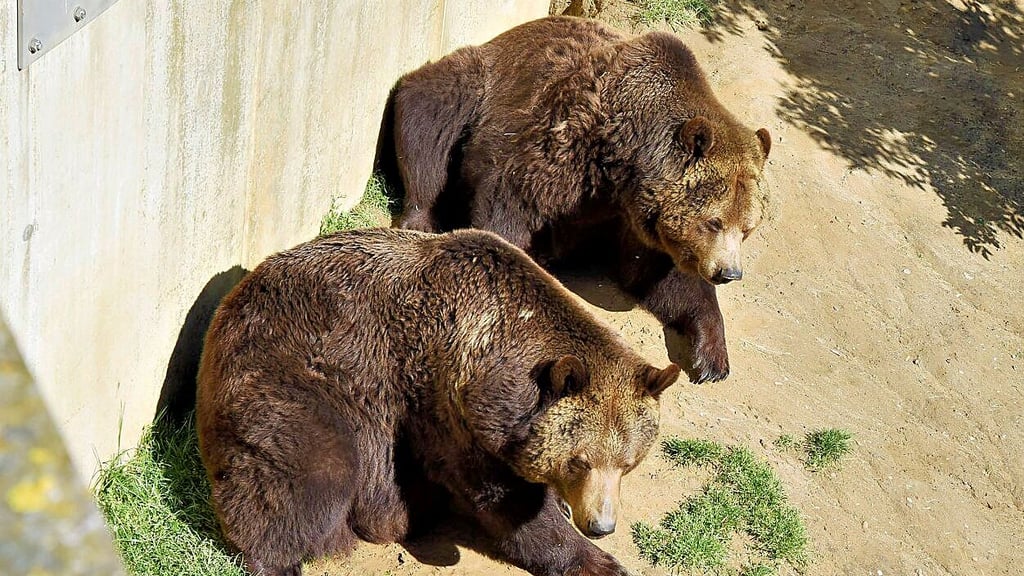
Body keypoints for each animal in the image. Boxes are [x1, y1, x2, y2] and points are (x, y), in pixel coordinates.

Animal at [196, 227, 681, 576]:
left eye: (628, 463)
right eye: (579, 461)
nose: (601, 526)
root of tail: (232, 297)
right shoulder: (443, 407)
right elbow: (507, 500)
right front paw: (596, 561)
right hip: (293, 373)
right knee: (307, 467)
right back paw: (278, 560)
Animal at [388, 16, 772, 384]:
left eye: (747, 229)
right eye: (714, 222)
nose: (729, 272)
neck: (623, 164)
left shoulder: (634, 222)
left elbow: (663, 279)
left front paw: (712, 356)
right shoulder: (563, 151)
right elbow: (509, 208)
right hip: (478, 84)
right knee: (430, 114)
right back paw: (421, 217)